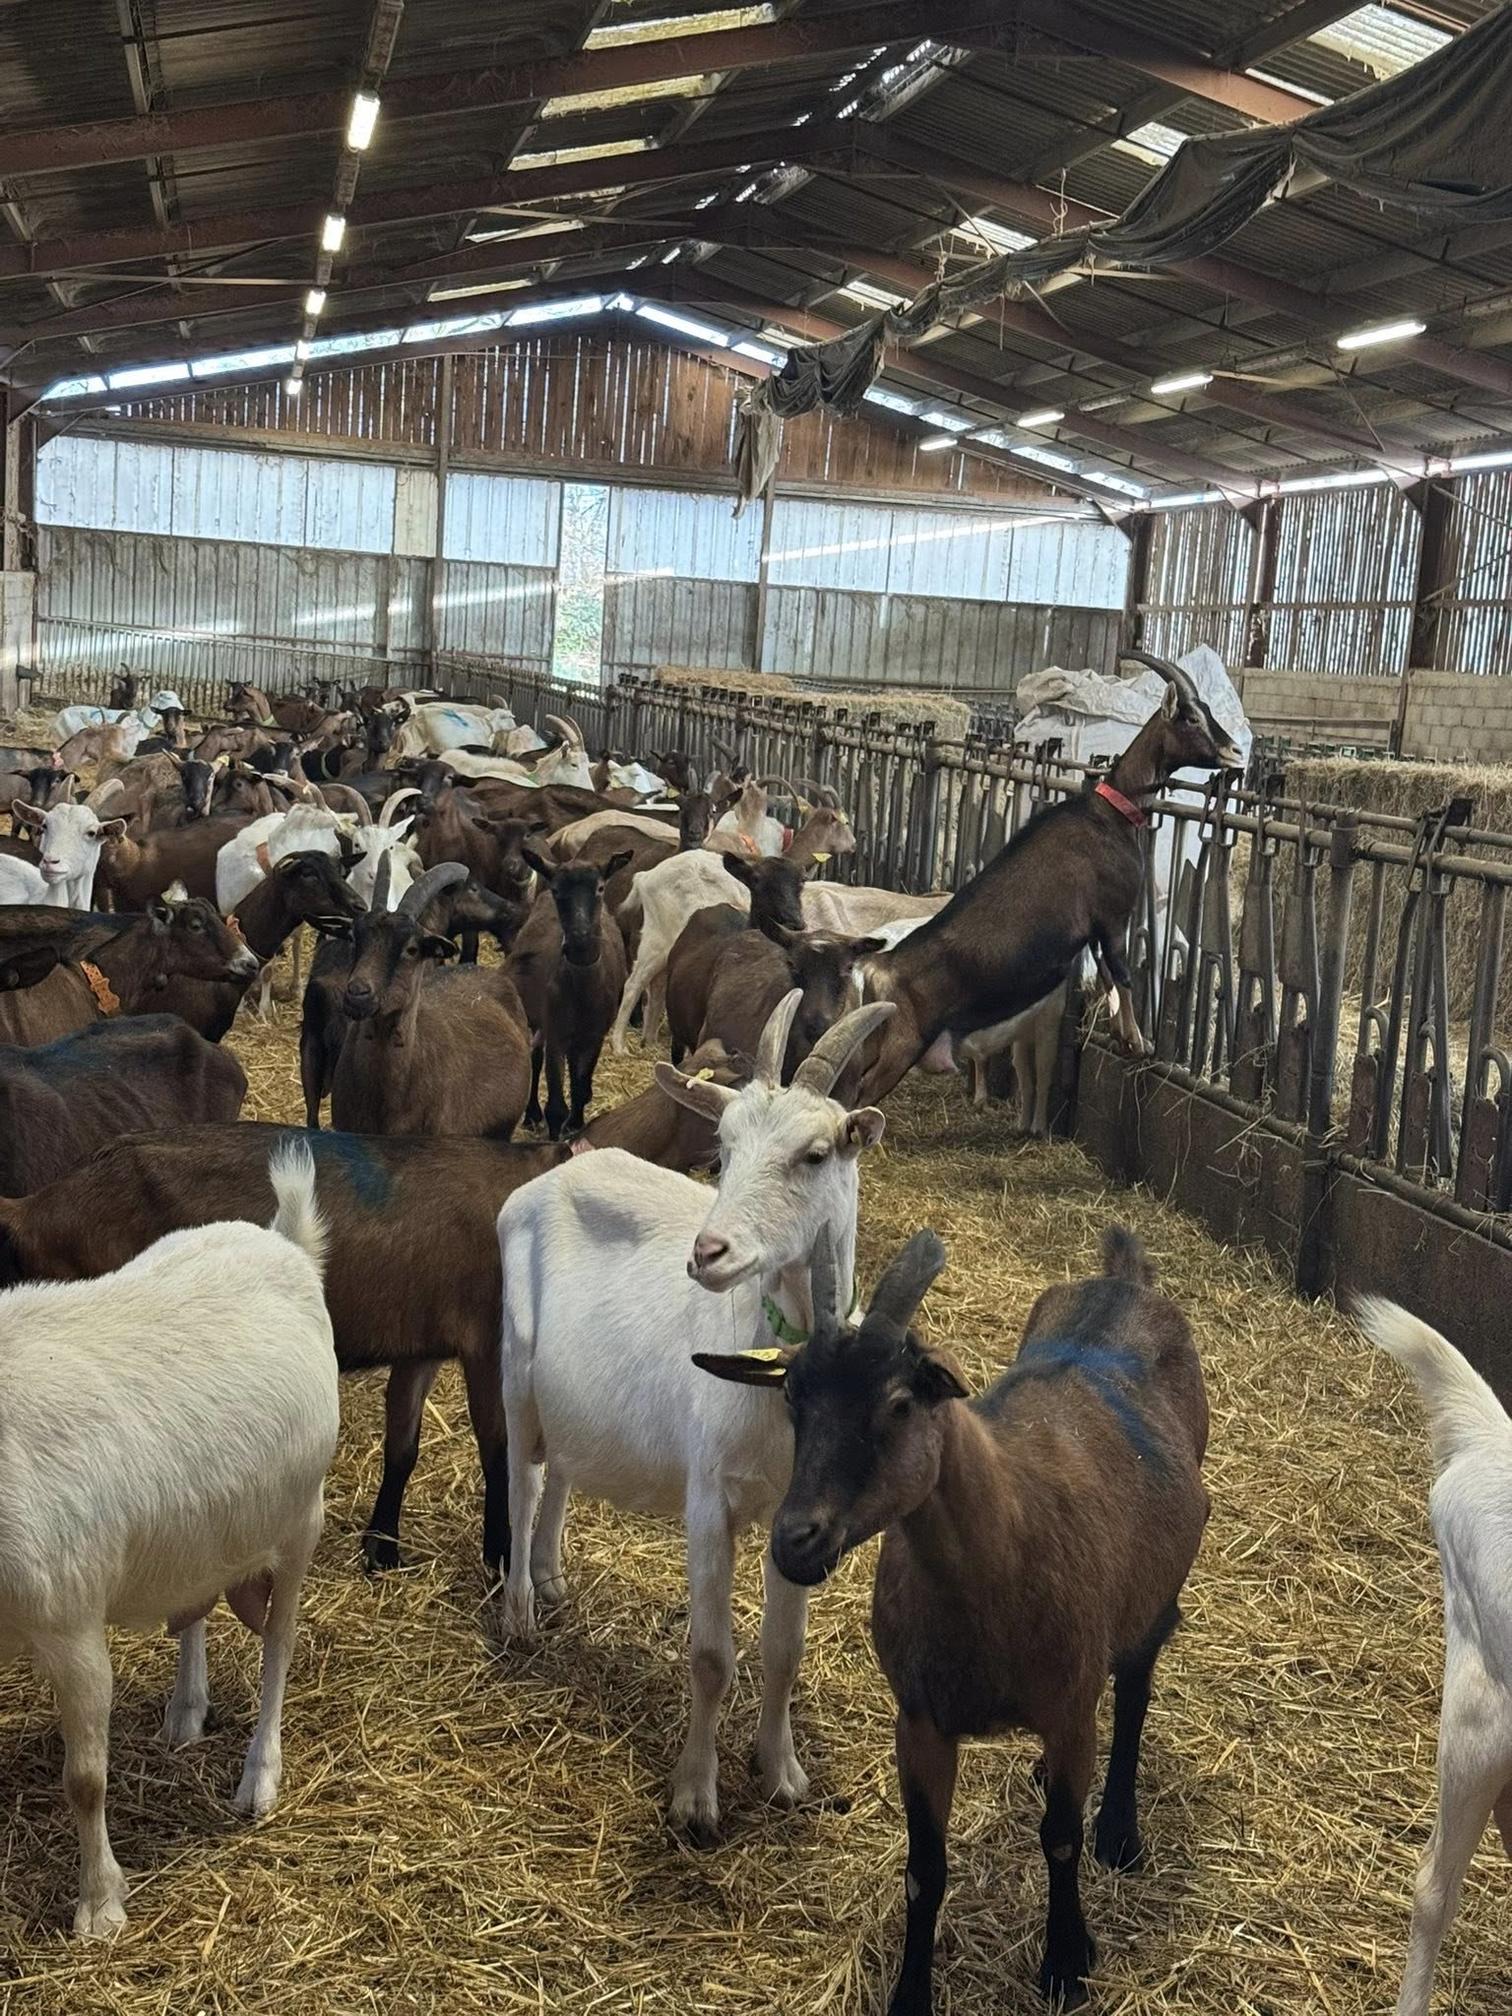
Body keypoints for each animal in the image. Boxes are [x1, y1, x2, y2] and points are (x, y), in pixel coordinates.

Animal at [0, 1141, 339, 1936]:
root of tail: (282, 1240)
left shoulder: (71, 1626)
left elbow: (85, 1781)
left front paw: (100, 1905)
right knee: (195, 1606)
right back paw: (187, 1708)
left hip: (301, 1519)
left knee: (281, 1644)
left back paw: (259, 1775)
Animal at [497, 991, 893, 1840]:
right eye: (724, 1146)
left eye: (816, 1154)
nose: (709, 1253)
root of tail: (548, 1179)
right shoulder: (709, 1497)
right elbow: (713, 1656)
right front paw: (696, 1798)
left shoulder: (796, 1516)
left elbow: (785, 1648)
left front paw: (781, 1773)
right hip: (515, 1364)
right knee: (522, 1476)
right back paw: (517, 1610)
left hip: (578, 1397)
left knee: (563, 1469)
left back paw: (550, 1579)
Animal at [508, 846, 631, 1138]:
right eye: (556, 890)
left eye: (600, 888)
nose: (579, 934)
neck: (582, 991)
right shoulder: (556, 1032)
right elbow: (555, 1106)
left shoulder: (595, 1035)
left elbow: (580, 1087)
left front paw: (576, 1124)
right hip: (536, 1017)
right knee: (535, 1058)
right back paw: (532, 1115)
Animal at [698, 1224, 1209, 2011]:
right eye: (791, 1396)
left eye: (901, 1403)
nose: (795, 1540)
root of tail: (1124, 1281)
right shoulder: (921, 1722)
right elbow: (924, 1869)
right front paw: (912, 1993)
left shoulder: (1067, 1707)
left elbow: (1060, 1838)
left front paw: (1066, 1961)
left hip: (1155, 1598)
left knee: (1132, 1692)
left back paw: (1120, 1831)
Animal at [854, 653, 1243, 1107]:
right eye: (1192, 717)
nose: (1235, 751)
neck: (1111, 812)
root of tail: (878, 970)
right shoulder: (1113, 916)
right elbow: (1123, 973)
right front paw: (1139, 1042)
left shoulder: (1094, 930)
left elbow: (1107, 975)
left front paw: (1122, 1036)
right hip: (900, 1048)